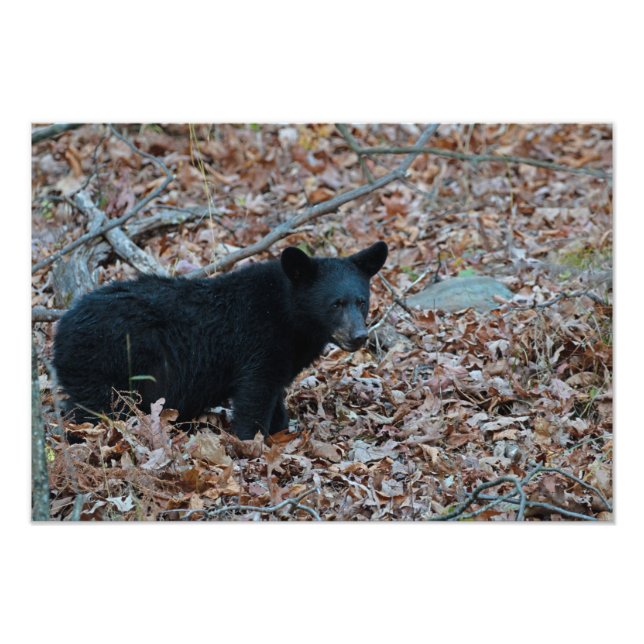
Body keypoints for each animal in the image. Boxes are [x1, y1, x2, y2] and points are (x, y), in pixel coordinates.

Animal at [53, 241, 388, 440]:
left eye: (361, 301)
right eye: (335, 304)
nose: (359, 336)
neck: (288, 312)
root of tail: (61, 330)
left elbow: (274, 395)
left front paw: (279, 430)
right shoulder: (258, 344)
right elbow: (254, 397)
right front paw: (250, 443)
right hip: (104, 367)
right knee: (89, 410)